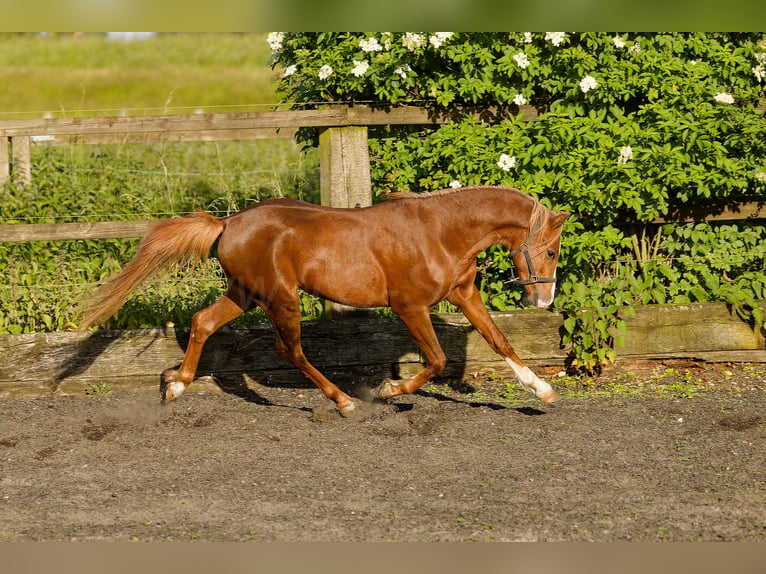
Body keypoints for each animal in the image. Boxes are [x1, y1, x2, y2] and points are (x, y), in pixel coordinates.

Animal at [79, 187, 568, 416]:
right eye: (551, 251)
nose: (543, 299)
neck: (441, 233)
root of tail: (227, 222)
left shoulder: (464, 294)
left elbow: (499, 340)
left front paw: (543, 391)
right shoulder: (410, 307)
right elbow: (435, 360)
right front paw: (387, 390)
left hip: (245, 293)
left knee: (202, 322)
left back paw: (176, 385)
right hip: (280, 297)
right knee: (289, 349)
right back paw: (344, 401)